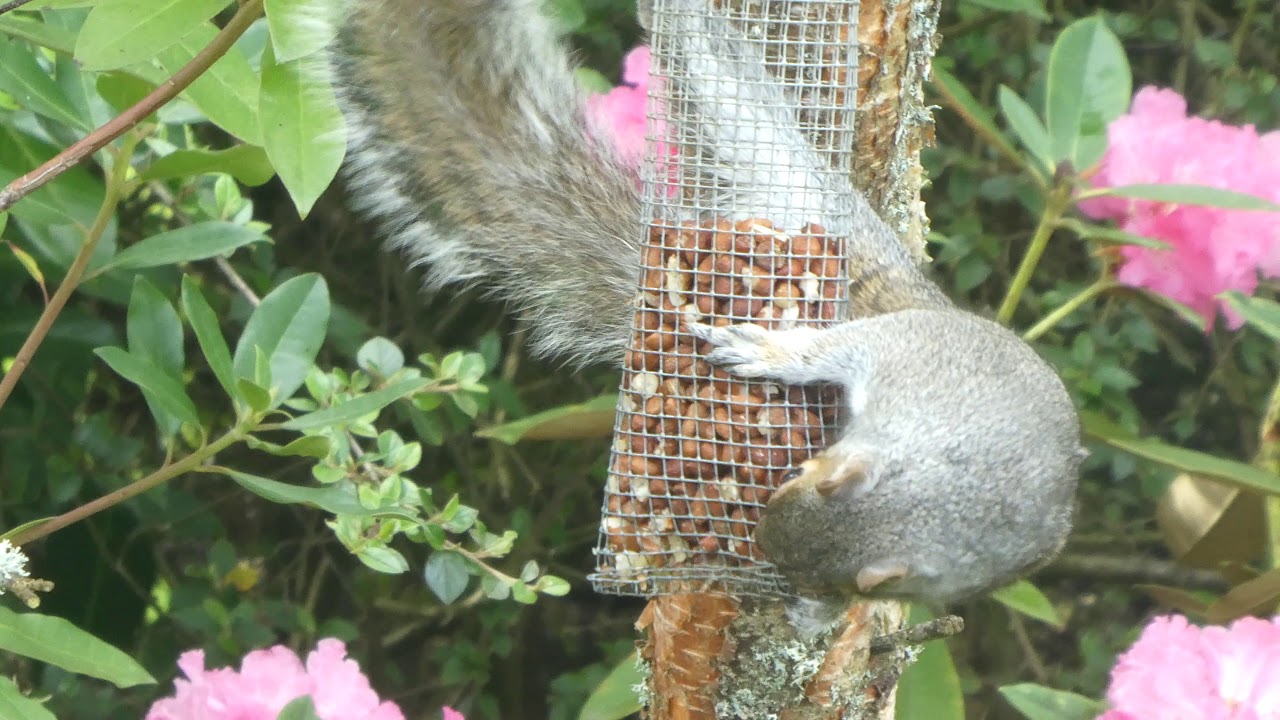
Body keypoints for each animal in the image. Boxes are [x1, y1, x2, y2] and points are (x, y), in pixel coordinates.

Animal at [333, 0, 1086, 610]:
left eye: (823, 575)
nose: (766, 540)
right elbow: (830, 349)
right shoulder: (900, 357)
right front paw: (772, 352)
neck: (941, 484)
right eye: (801, 474)